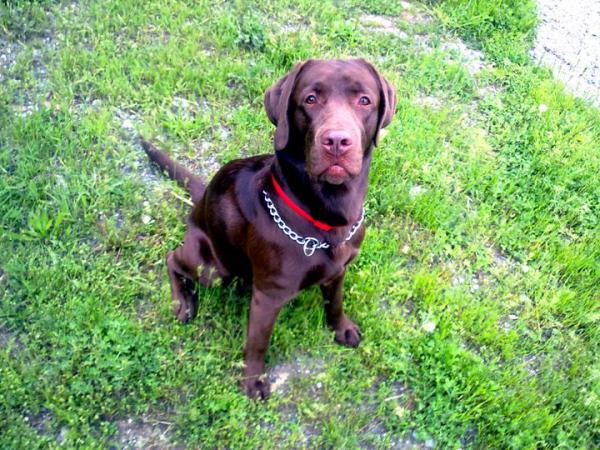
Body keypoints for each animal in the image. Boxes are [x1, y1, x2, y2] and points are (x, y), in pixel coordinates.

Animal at [142, 58, 395, 399]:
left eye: (365, 100)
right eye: (310, 99)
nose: (337, 141)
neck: (327, 218)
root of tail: (203, 197)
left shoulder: (339, 270)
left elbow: (336, 302)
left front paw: (341, 328)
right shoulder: (269, 296)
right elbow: (257, 342)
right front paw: (253, 381)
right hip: (212, 267)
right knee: (173, 259)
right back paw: (182, 301)